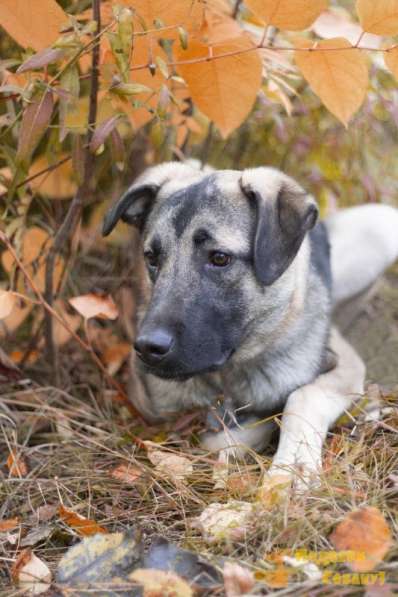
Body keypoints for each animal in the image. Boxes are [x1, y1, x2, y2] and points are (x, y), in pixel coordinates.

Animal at [103, 161, 398, 482]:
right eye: (152, 257)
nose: (147, 348)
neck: (229, 379)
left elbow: (303, 396)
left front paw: (291, 467)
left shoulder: (346, 365)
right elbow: (221, 438)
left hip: (383, 224)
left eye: (219, 258)